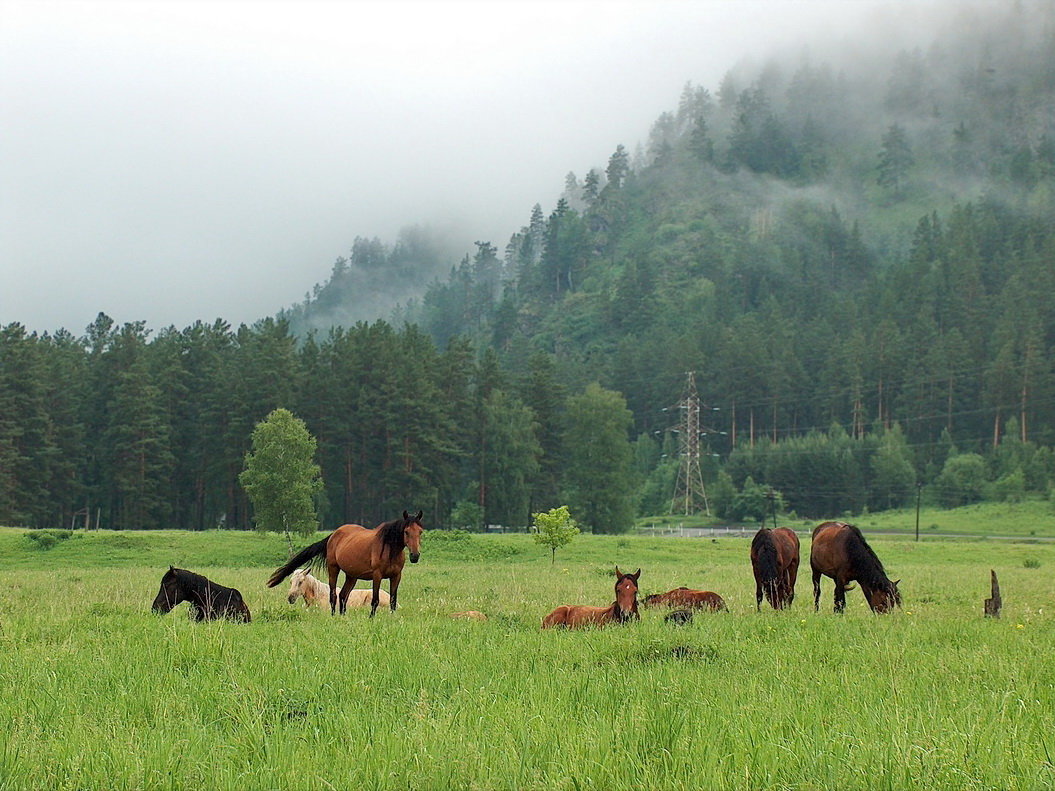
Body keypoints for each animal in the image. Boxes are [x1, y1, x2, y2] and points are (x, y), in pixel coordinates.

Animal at [265, 510, 421, 615]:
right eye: (406, 532)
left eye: (420, 531)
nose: (415, 556)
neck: (389, 549)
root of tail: (333, 535)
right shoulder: (377, 575)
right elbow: (375, 600)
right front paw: (371, 618)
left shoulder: (396, 576)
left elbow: (393, 600)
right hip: (333, 569)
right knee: (334, 595)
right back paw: (334, 615)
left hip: (351, 576)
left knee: (343, 596)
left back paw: (342, 615)